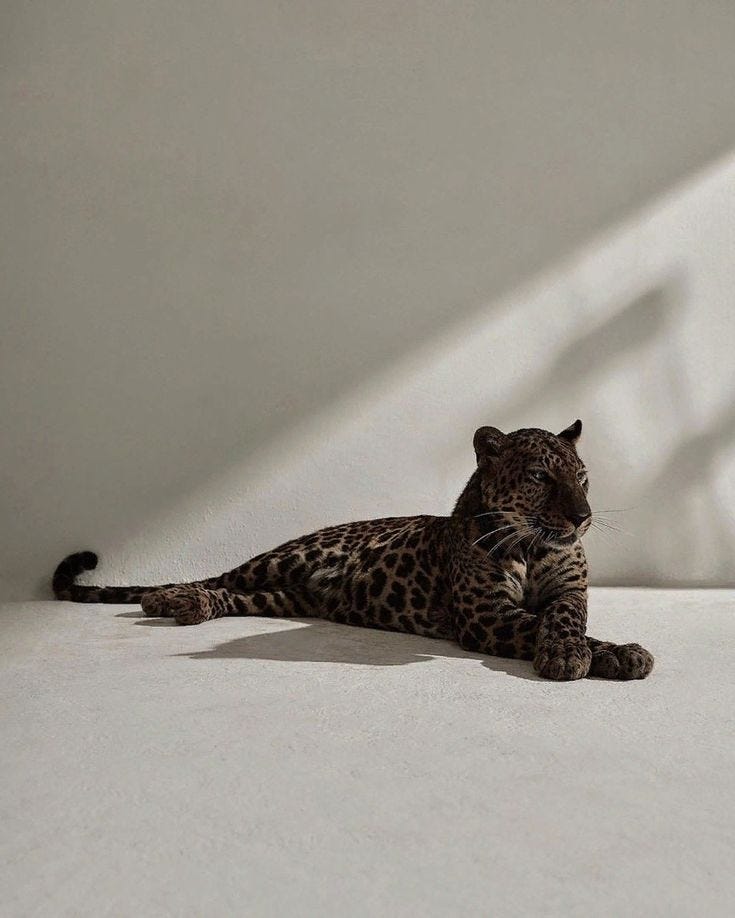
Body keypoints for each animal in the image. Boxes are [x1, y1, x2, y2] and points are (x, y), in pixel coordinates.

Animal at [52, 420, 654, 681]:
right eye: (538, 477)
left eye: (583, 479)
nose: (583, 517)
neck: (531, 549)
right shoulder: (485, 615)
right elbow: (543, 625)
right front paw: (592, 654)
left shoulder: (570, 590)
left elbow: (565, 617)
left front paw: (610, 651)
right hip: (283, 559)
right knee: (219, 577)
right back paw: (172, 598)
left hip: (283, 599)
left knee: (235, 597)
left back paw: (187, 607)